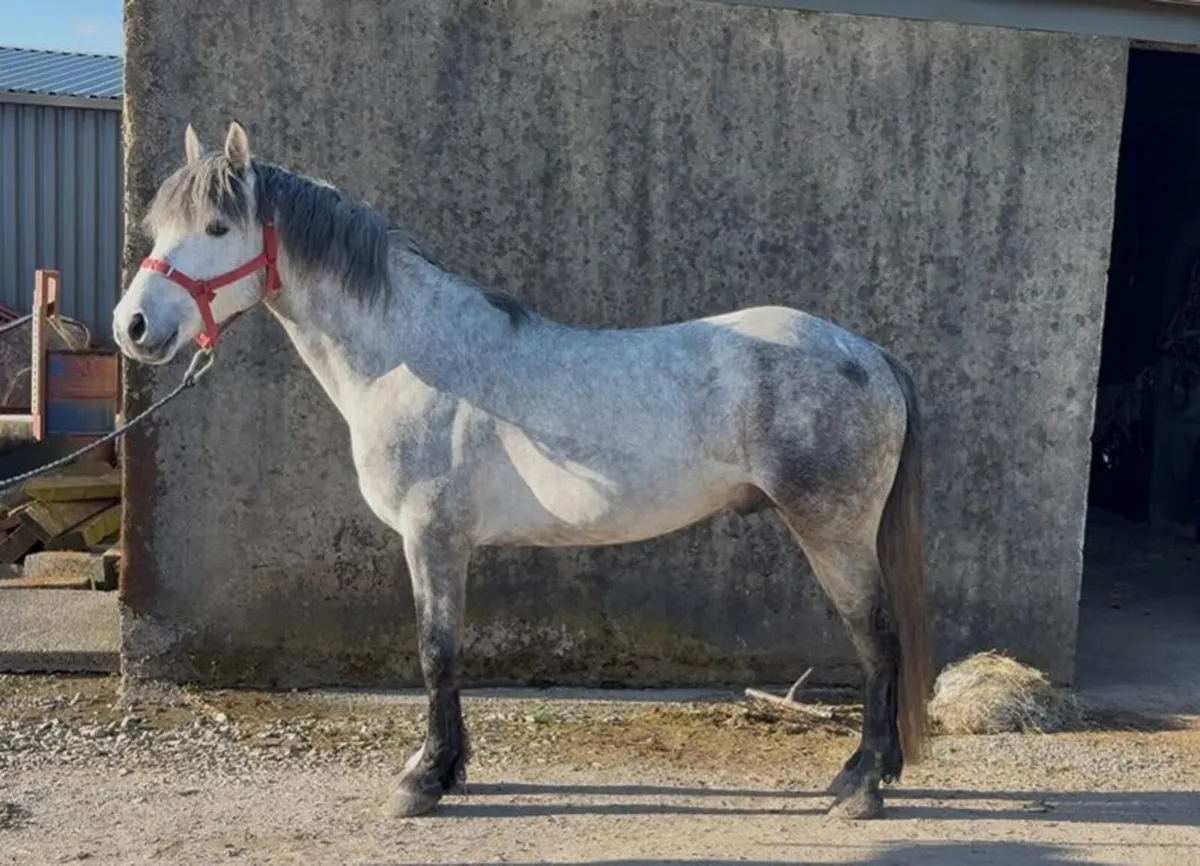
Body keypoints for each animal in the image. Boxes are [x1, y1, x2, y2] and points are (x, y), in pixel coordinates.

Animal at [113, 120, 932, 821]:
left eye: (218, 229)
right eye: (159, 230)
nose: (134, 328)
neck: (415, 356)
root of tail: (867, 352)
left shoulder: (433, 537)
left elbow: (436, 655)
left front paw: (424, 780)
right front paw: (446, 769)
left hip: (834, 532)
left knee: (878, 641)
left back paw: (862, 788)